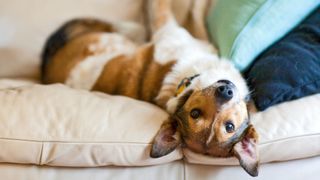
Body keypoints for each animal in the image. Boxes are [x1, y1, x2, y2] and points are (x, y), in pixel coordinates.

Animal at [41, 0, 258, 176]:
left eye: (229, 126)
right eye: (195, 114)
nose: (226, 91)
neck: (183, 85)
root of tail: (47, 65)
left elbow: (191, 15)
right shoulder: (170, 29)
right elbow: (185, 12)